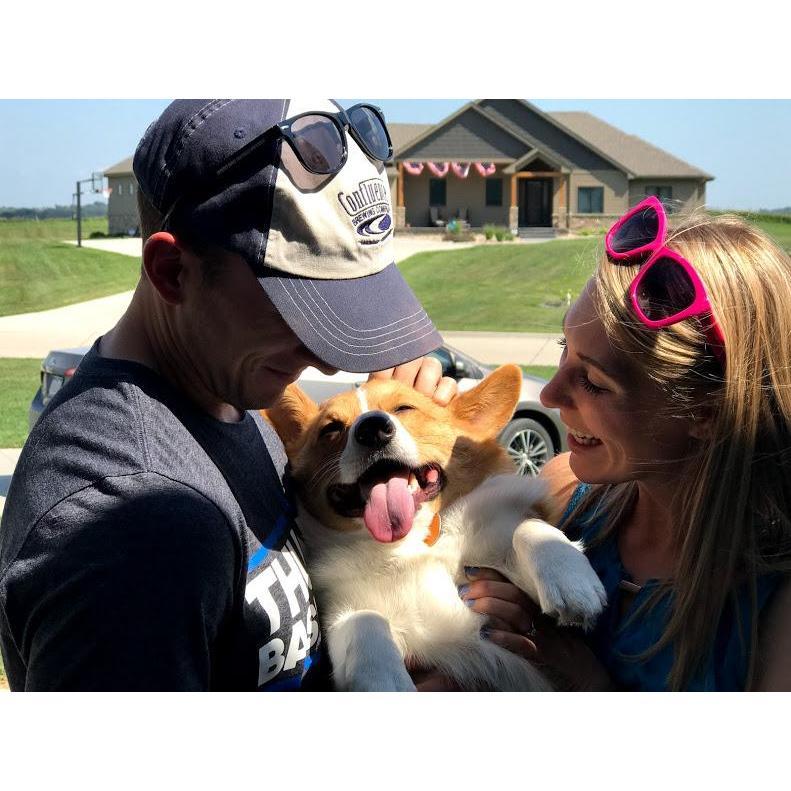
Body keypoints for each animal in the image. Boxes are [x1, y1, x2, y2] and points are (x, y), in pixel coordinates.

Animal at [266, 366, 608, 692]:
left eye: (404, 408)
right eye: (331, 428)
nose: (371, 429)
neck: (408, 544)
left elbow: (528, 527)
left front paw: (570, 581)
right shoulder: (342, 613)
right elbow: (365, 621)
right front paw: (384, 682)